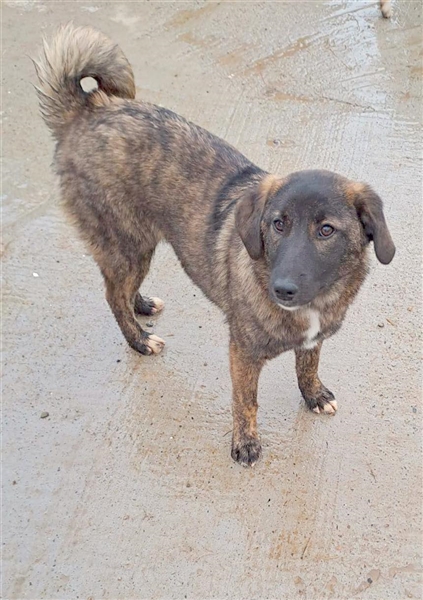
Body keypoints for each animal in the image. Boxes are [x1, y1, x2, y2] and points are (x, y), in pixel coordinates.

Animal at [34, 25, 395, 466]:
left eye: (326, 230)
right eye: (278, 224)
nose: (282, 289)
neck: (314, 302)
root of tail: (87, 110)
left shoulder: (313, 341)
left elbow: (307, 365)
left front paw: (313, 396)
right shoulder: (242, 352)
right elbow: (246, 401)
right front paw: (246, 443)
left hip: (137, 247)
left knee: (122, 290)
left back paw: (143, 305)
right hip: (127, 244)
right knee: (113, 295)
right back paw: (139, 340)